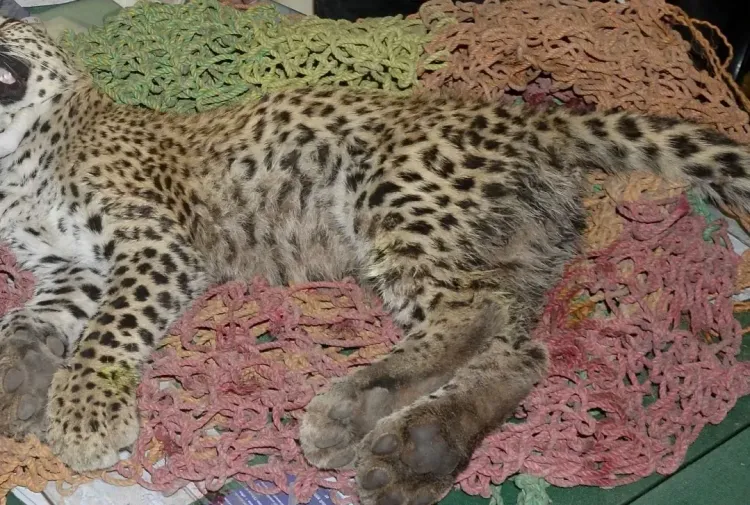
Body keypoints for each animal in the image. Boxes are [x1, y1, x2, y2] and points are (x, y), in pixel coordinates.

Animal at [1, 16, 750, 505]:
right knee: (519, 350)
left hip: (398, 197)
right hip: (512, 248)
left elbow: (109, 330)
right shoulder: (73, 269)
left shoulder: (154, 242)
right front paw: (18, 381)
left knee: (472, 312)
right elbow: (31, 321)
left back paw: (358, 407)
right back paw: (419, 447)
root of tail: (531, 119)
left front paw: (84, 417)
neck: (19, 163)